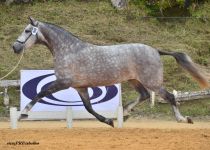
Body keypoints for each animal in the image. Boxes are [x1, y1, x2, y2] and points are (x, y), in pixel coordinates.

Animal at [13, 17, 208, 127]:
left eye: (27, 30)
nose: (15, 47)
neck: (68, 50)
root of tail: (155, 50)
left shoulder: (64, 83)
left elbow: (41, 93)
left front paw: (23, 113)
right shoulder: (80, 87)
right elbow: (89, 108)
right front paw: (109, 121)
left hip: (153, 82)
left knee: (170, 97)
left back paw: (183, 119)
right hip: (134, 80)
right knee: (144, 95)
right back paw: (126, 113)